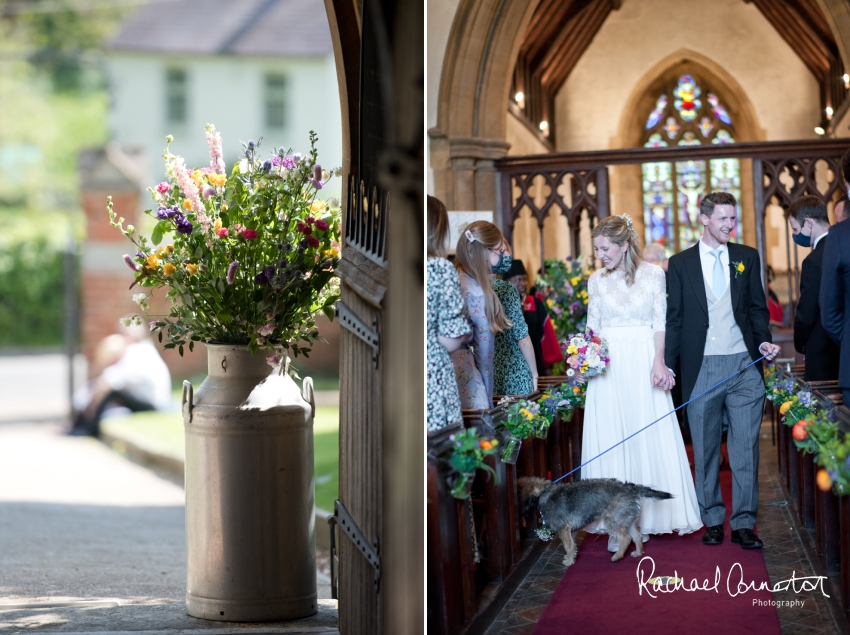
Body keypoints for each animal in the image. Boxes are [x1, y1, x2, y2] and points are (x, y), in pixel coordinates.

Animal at [512, 476, 672, 568]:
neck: (543, 494)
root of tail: (630, 487)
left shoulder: (564, 529)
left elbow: (568, 546)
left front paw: (569, 562)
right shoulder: (571, 531)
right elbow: (571, 546)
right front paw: (570, 557)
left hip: (612, 521)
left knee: (626, 539)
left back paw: (617, 556)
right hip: (627, 522)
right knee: (637, 537)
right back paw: (638, 553)